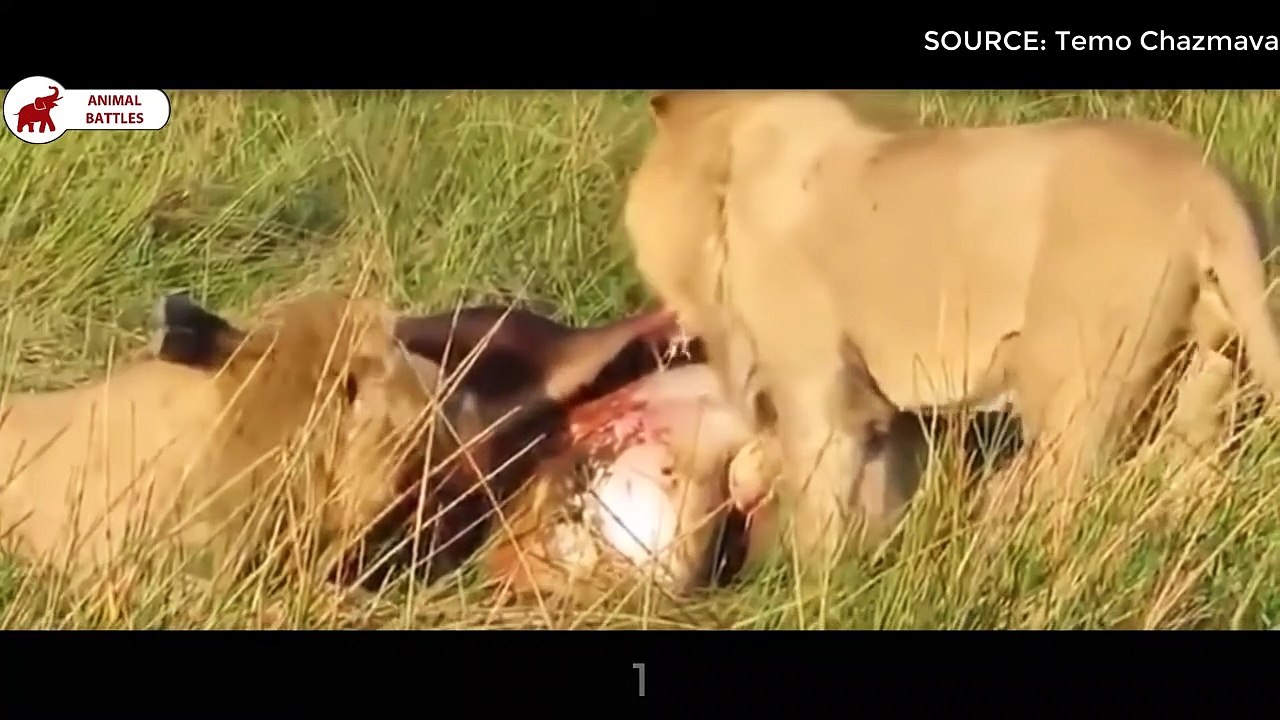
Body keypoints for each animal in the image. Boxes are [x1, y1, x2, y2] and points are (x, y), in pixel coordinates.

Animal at [623, 90, 1280, 570]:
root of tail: (1206, 185)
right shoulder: (872, 401)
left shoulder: (814, 382)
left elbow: (819, 497)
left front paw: (807, 584)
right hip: (1206, 374)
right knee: (1190, 479)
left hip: (1073, 382)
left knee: (1059, 500)